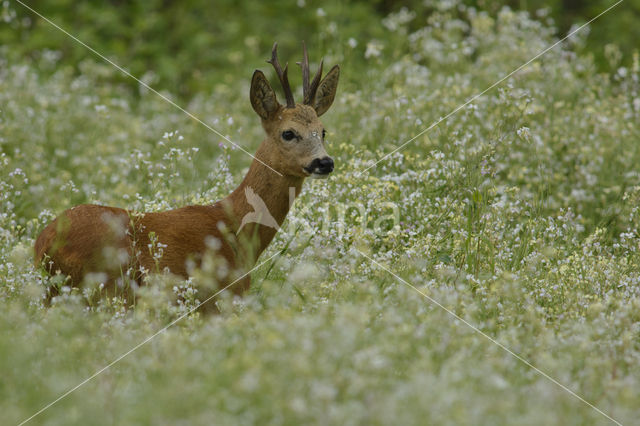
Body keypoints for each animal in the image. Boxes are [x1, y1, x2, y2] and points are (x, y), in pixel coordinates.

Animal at [33, 42, 340, 310]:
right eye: (288, 133)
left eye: (323, 131)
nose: (325, 162)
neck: (236, 227)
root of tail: (43, 246)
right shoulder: (220, 298)